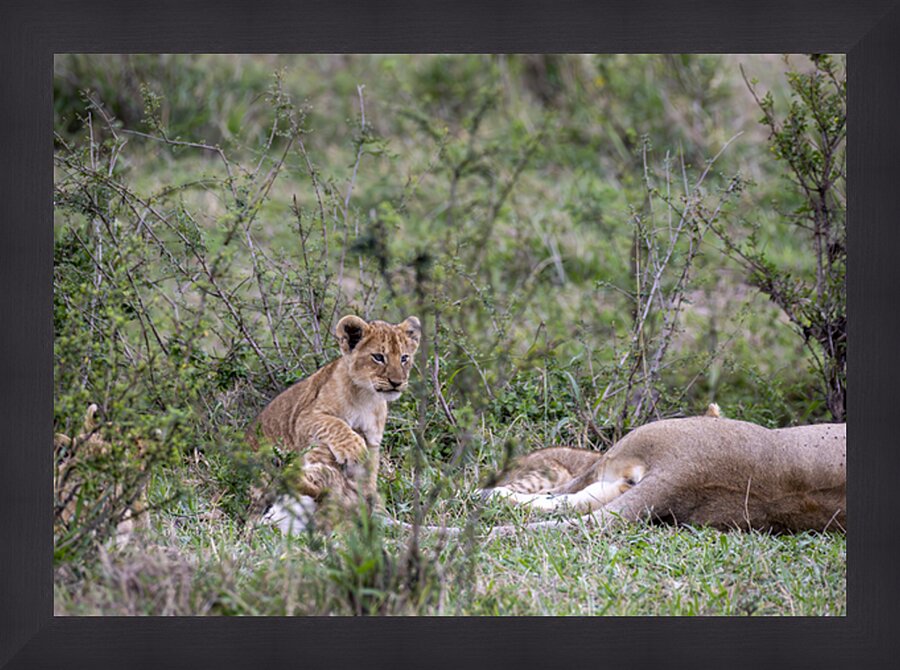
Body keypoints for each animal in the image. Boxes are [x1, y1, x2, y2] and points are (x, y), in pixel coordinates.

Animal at [247, 314, 421, 533]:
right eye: (378, 357)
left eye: (404, 358)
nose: (397, 382)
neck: (367, 398)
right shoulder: (305, 418)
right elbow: (334, 423)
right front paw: (353, 448)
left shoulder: (373, 441)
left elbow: (368, 478)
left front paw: (370, 511)